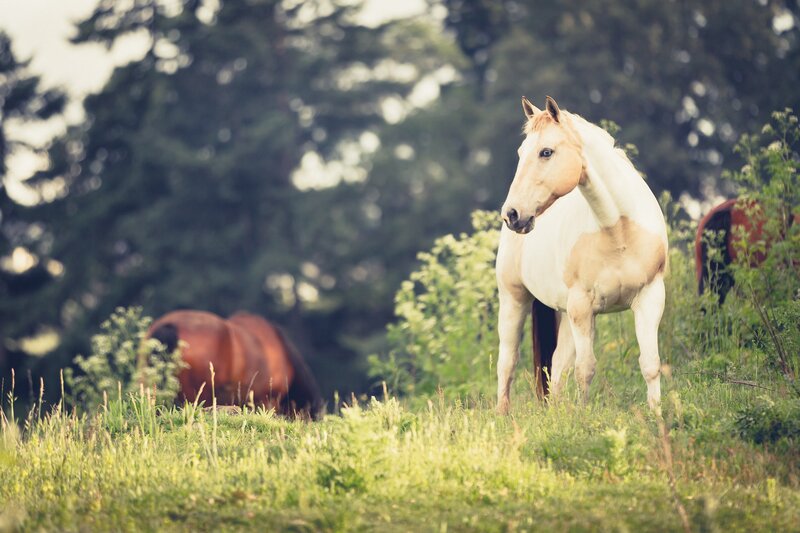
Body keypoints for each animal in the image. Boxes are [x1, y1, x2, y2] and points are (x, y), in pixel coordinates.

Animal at [496, 96, 668, 414]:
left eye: (546, 152)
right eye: (520, 152)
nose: (512, 214)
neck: (618, 232)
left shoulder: (650, 297)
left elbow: (650, 364)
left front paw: (658, 417)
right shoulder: (582, 306)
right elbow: (585, 370)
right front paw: (585, 419)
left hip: (563, 313)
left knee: (557, 369)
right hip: (514, 299)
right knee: (507, 363)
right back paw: (502, 416)